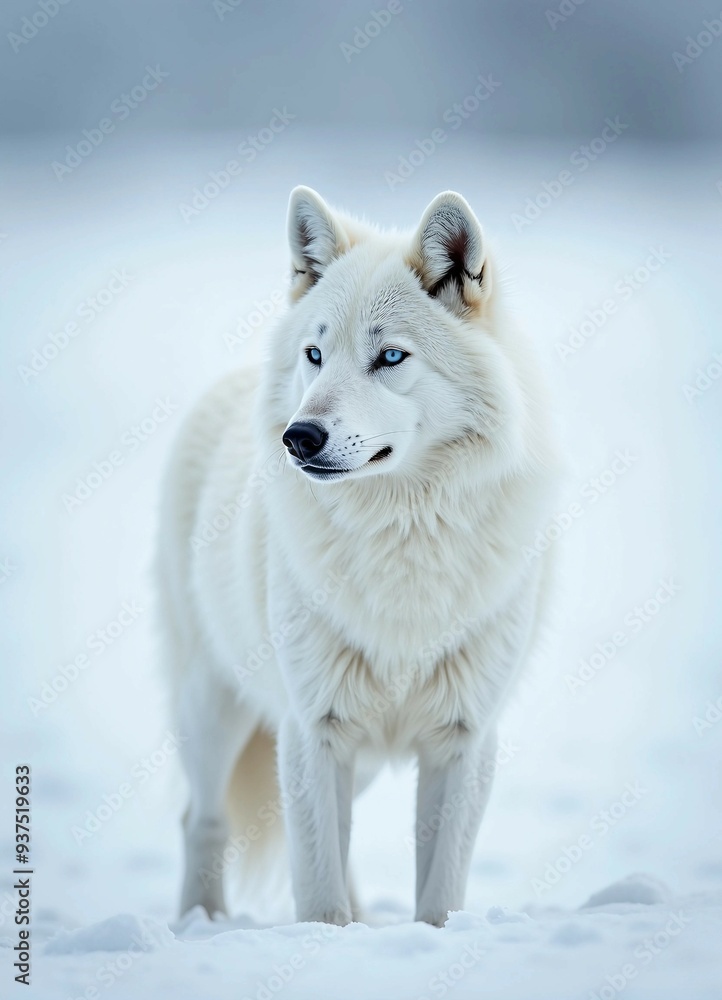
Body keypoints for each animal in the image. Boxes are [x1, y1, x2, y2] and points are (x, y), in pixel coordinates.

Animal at [157, 187, 559, 927]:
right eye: (316, 354)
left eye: (391, 358)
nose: (299, 436)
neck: (402, 535)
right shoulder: (311, 726)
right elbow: (316, 890)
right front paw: (323, 939)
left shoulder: (464, 737)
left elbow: (439, 890)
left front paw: (425, 936)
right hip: (213, 706)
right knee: (201, 819)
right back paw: (203, 922)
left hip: (356, 759)